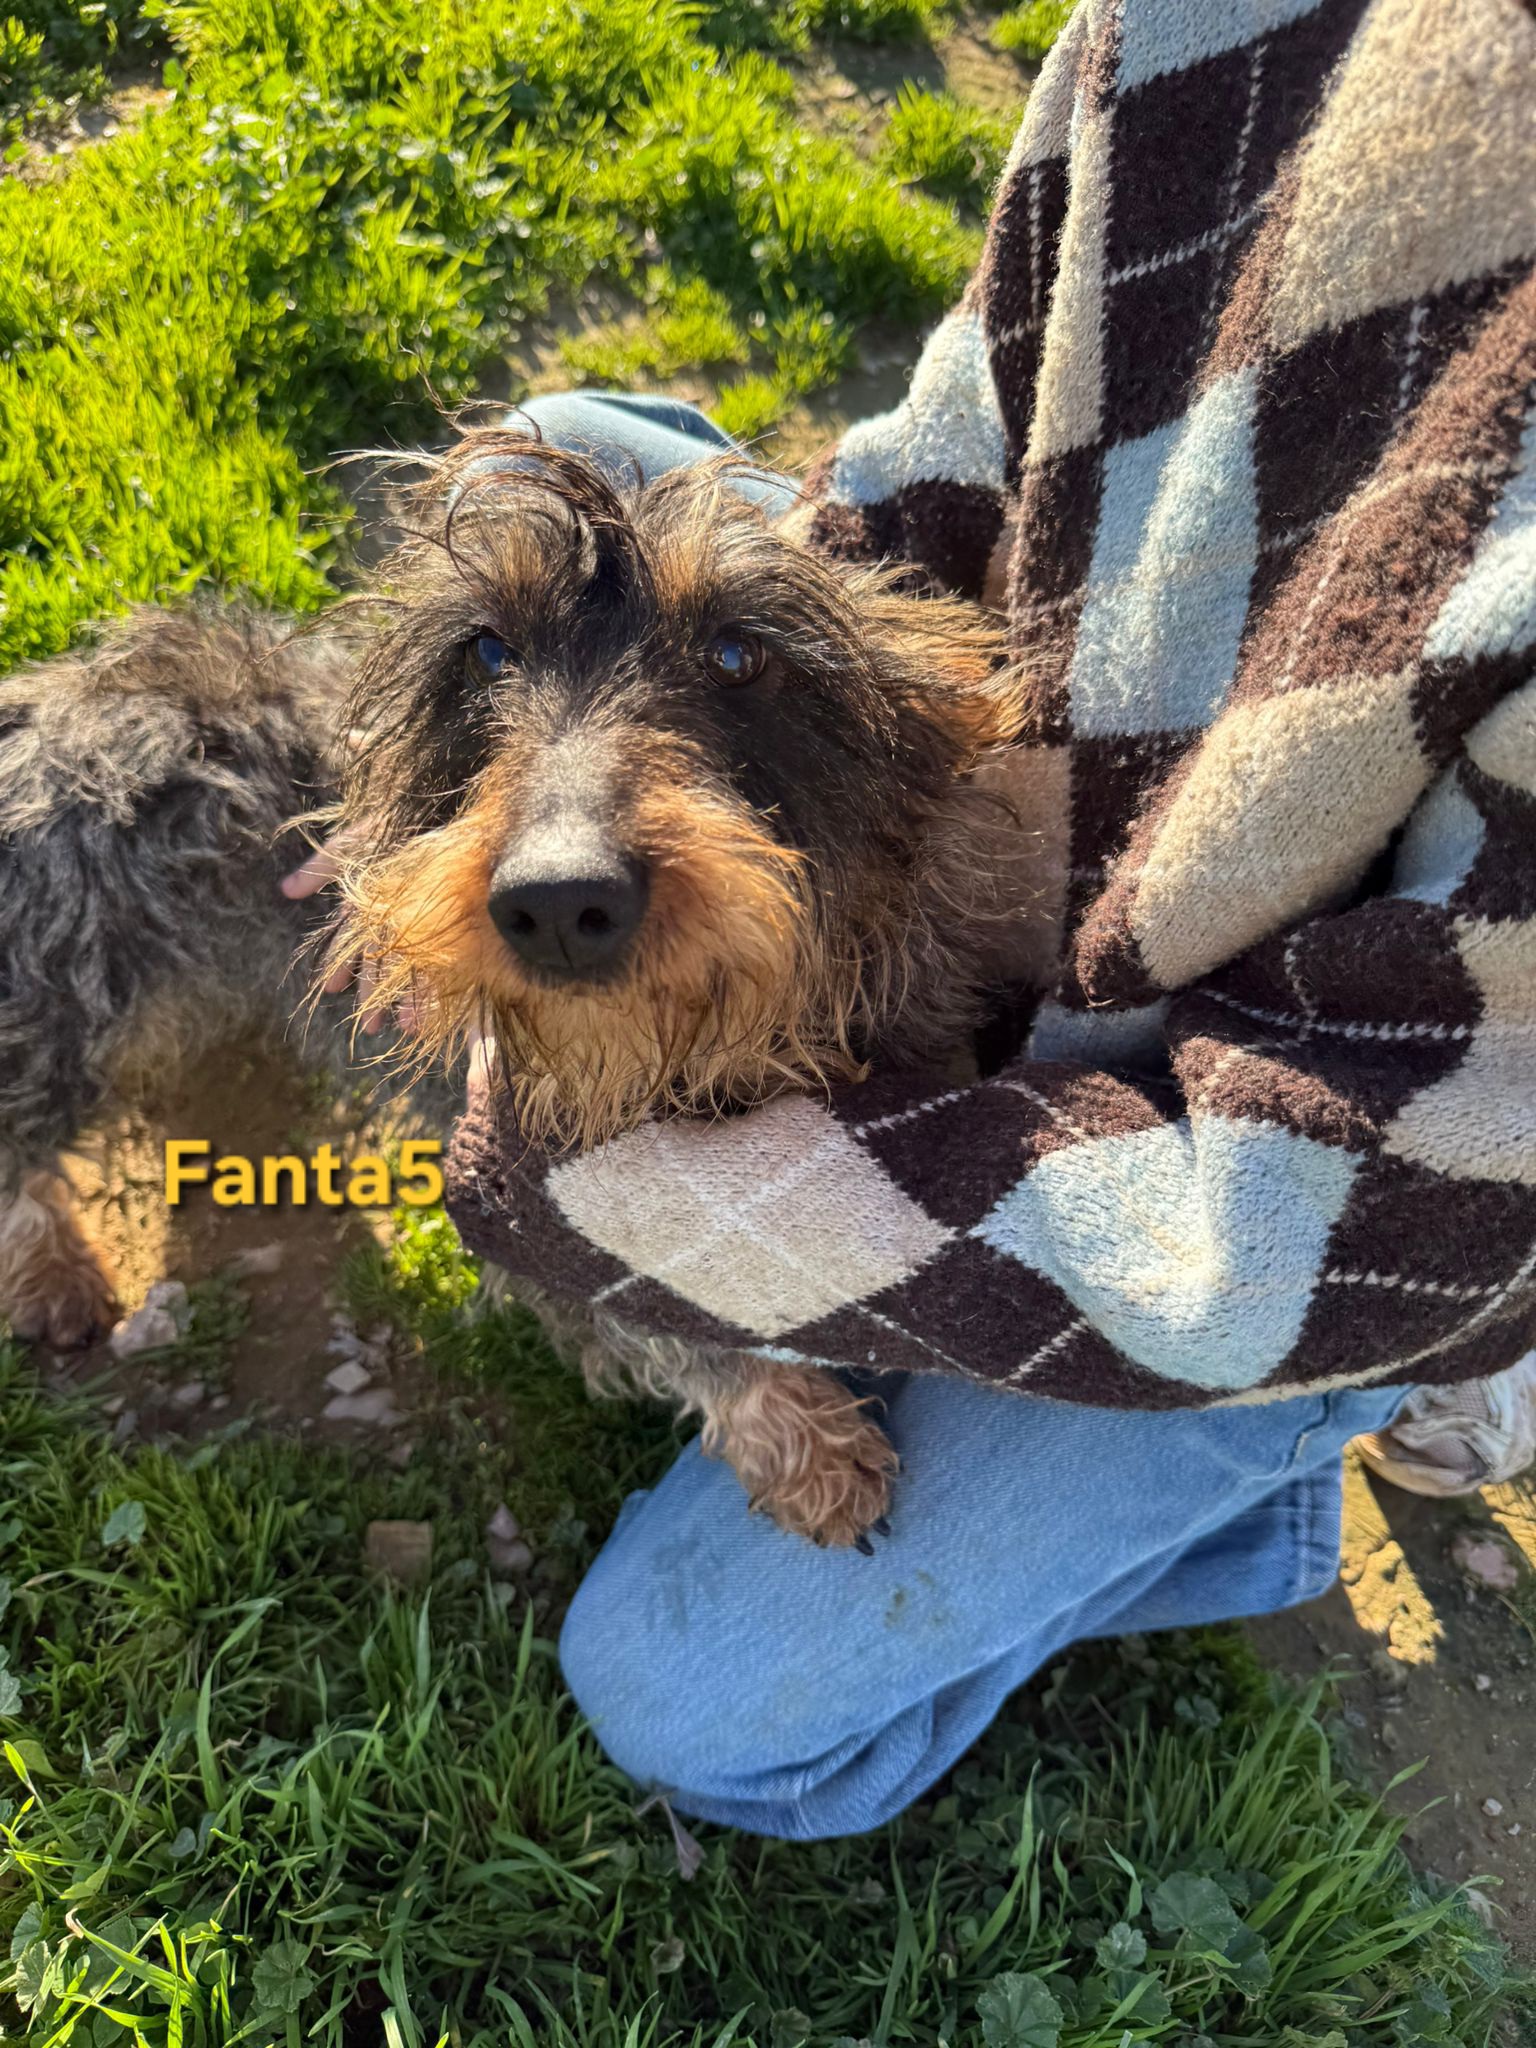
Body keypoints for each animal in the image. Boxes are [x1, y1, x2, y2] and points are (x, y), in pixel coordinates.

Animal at [0, 431, 1033, 1546]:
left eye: (738, 654)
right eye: (486, 653)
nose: (557, 900)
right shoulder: (536, 1206)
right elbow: (691, 1336)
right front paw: (810, 1450)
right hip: (58, 1006)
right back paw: (49, 1275)